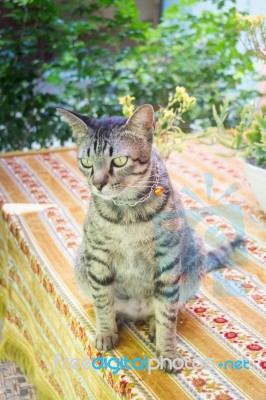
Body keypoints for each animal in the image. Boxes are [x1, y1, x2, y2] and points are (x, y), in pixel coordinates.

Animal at [58, 105, 243, 372]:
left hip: (193, 256)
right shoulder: (97, 256)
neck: (127, 211)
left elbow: (167, 314)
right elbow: (102, 301)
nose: (98, 184)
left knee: (167, 308)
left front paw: (167, 351)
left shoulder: (167, 260)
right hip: (82, 261)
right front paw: (105, 332)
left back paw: (154, 325)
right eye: (86, 162)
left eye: (119, 161)